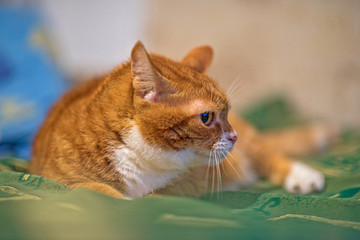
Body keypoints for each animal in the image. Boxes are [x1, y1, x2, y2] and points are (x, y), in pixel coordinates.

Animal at [29, 41, 338, 199]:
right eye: (206, 117)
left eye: (226, 113)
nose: (234, 136)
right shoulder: (61, 180)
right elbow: (97, 190)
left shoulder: (179, 188)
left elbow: (152, 197)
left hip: (254, 146)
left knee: (270, 154)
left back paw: (302, 176)